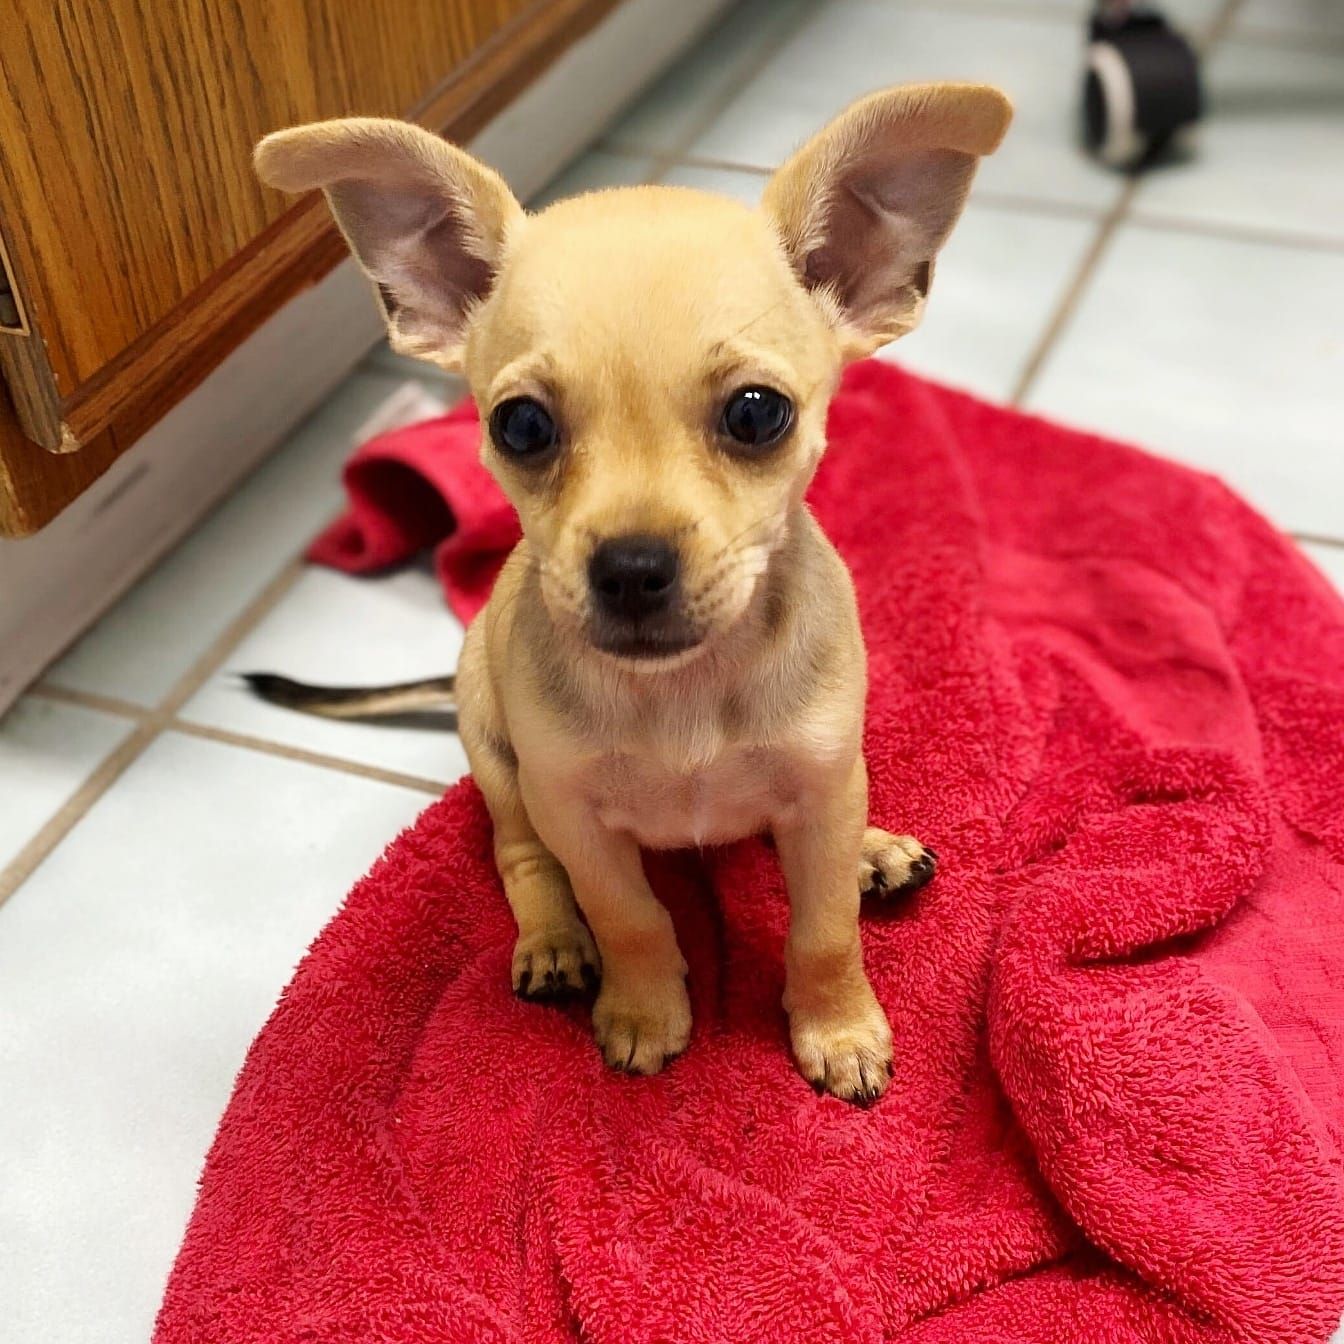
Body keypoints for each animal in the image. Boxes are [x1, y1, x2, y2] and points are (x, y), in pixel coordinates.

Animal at [252, 86, 1010, 1112]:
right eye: (521, 426)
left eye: (758, 413)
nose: (633, 568)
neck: (686, 692)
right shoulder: (577, 816)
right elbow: (632, 917)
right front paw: (646, 1011)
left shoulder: (820, 776)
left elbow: (821, 929)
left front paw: (837, 1026)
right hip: (497, 757)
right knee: (522, 857)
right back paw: (553, 941)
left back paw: (869, 851)